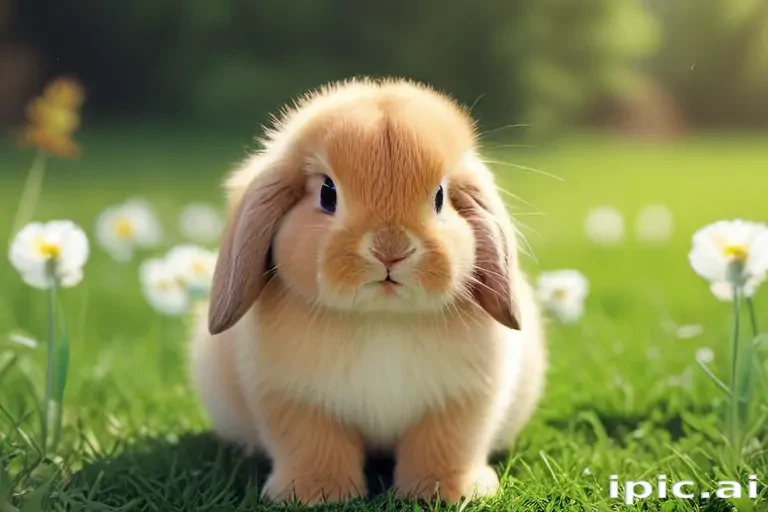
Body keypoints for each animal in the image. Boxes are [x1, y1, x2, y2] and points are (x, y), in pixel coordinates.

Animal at [189, 77, 547, 506]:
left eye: (440, 197)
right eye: (327, 193)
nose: (390, 249)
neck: (380, 317)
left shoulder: (461, 405)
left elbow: (445, 447)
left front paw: (447, 493)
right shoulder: (296, 404)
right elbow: (314, 447)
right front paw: (316, 494)